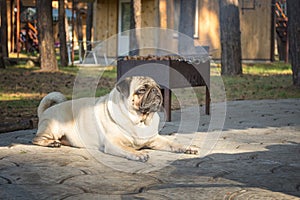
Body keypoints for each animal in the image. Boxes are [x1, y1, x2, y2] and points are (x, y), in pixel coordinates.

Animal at [32, 76, 198, 162]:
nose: (156, 91)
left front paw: (187, 147)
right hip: (53, 127)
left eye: (158, 87)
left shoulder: (155, 139)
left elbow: (173, 143)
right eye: (142, 90)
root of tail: (46, 110)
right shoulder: (114, 143)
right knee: (36, 139)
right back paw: (52, 143)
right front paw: (139, 153)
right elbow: (129, 148)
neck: (140, 121)